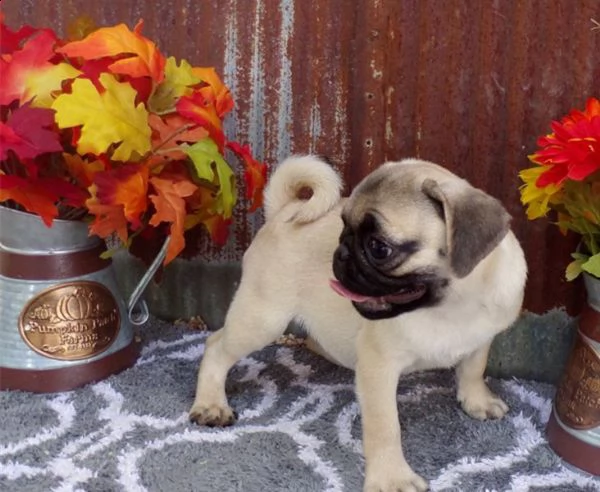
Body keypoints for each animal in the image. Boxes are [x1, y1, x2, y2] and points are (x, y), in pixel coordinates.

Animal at [190, 155, 528, 492]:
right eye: (343, 227)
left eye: (379, 248)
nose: (341, 252)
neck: (452, 305)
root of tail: (284, 211)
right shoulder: (379, 367)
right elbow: (385, 426)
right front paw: (393, 477)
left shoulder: (482, 338)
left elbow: (473, 369)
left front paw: (477, 400)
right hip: (263, 318)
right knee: (216, 346)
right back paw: (211, 405)